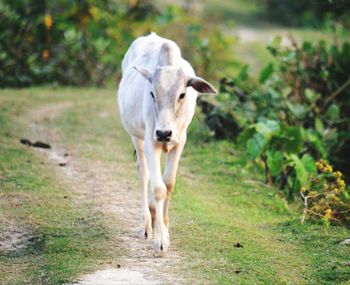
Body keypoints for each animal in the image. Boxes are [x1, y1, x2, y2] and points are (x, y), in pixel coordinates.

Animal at [117, 32, 216, 254]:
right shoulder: (150, 141)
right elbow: (158, 188)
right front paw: (160, 239)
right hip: (136, 137)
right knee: (144, 175)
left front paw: (165, 227)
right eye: (152, 93)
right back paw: (146, 224)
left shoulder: (180, 141)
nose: (163, 133)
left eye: (182, 94)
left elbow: (168, 183)